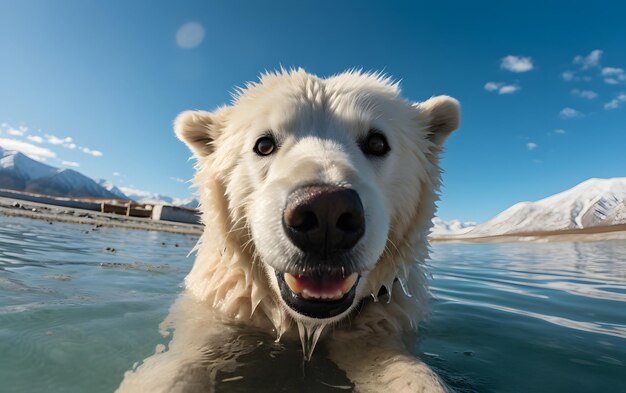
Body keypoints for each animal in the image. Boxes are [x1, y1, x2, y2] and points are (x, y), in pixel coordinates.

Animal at [117, 69, 458, 390]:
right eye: (264, 144)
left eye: (377, 142)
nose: (326, 213)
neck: (305, 324)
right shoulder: (225, 308)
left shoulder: (379, 319)